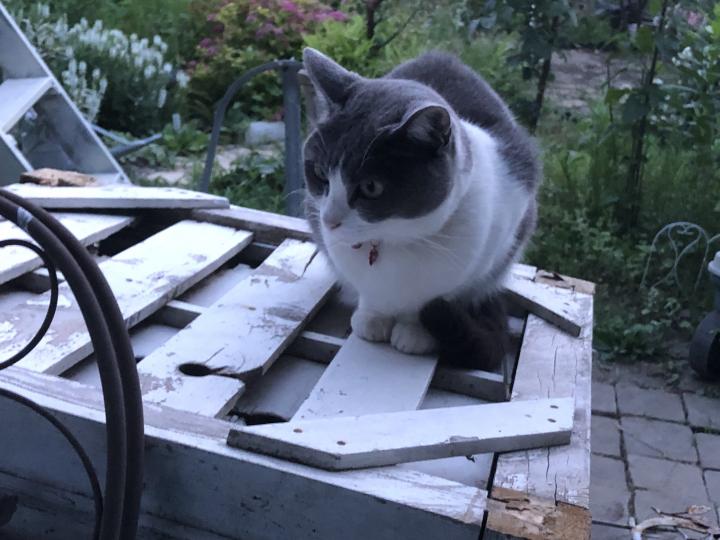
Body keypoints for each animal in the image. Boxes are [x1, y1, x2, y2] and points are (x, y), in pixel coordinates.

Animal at [301, 47, 540, 370]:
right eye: (319, 173)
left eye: (371, 187)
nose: (329, 220)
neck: (392, 241)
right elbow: (369, 295)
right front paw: (371, 319)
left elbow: (434, 301)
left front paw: (415, 332)